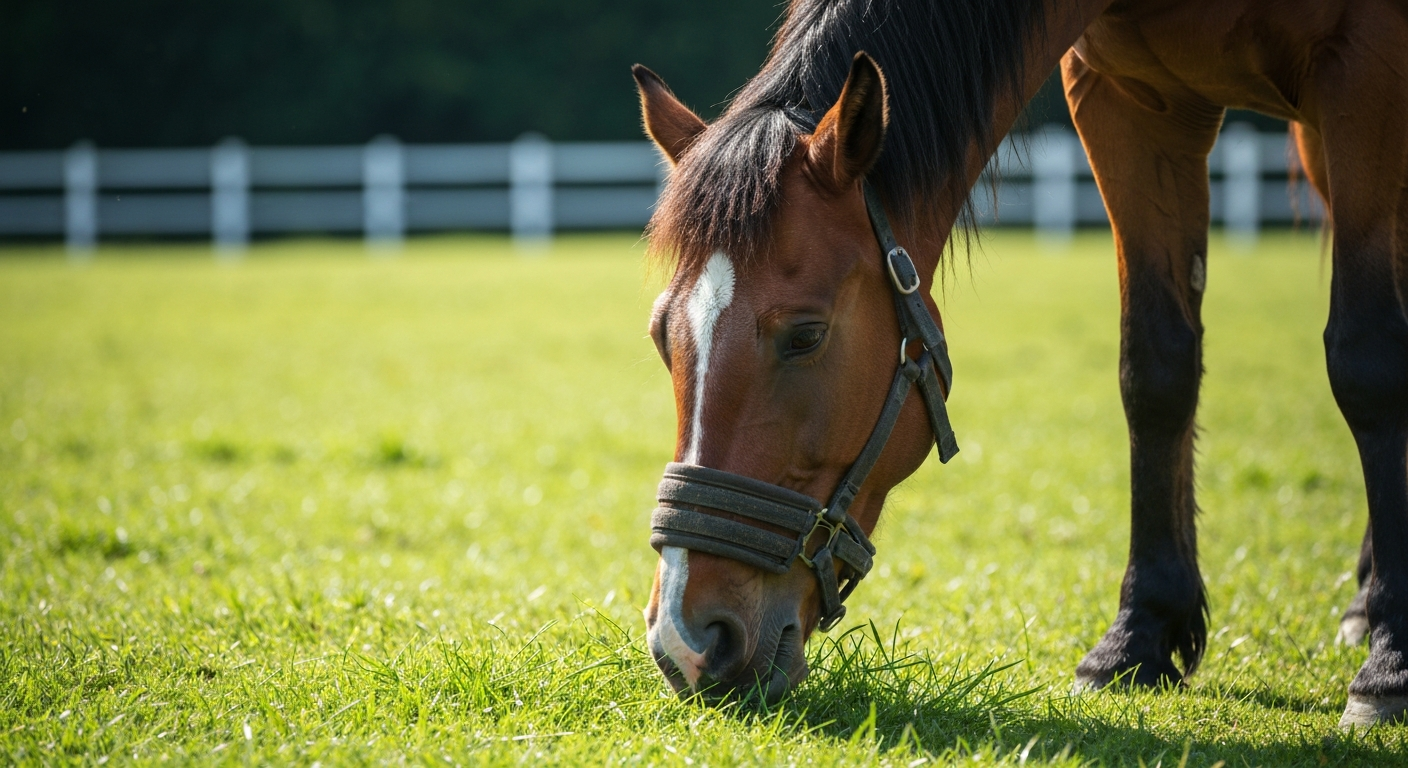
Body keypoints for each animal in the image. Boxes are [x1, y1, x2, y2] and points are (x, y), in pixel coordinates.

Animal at [633, 0, 1408, 727]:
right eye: (661, 336)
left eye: (805, 335)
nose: (688, 640)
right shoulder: (1127, 97)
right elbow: (1155, 368)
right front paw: (1137, 639)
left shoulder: (1366, 72)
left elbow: (1368, 361)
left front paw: (1389, 668)